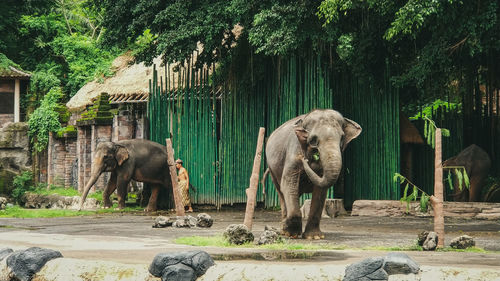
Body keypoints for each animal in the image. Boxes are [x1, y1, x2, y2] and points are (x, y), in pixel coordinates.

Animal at [268, 109, 362, 238]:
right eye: (313, 140)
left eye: (342, 137)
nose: (304, 159)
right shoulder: (293, 152)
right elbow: (288, 182)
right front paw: (293, 234)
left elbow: (321, 190)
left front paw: (314, 237)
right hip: (272, 169)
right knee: (281, 191)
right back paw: (284, 231)